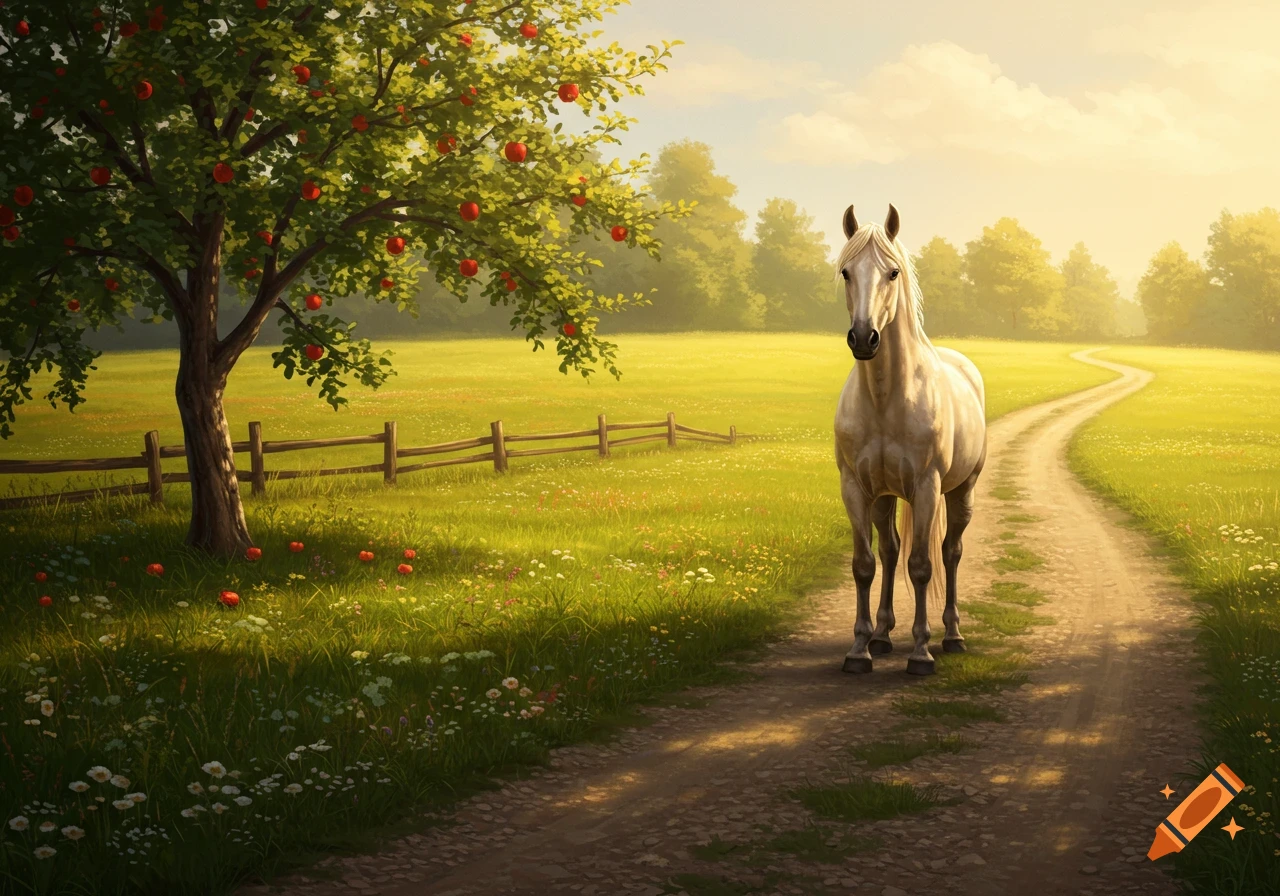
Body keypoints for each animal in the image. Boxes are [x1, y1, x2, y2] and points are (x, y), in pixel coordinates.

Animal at [833, 204, 987, 676]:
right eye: (846, 272)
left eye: (893, 272)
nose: (864, 338)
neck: (887, 399)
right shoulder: (855, 487)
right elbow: (865, 564)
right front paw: (859, 648)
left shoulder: (926, 487)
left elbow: (921, 565)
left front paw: (921, 652)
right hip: (884, 496)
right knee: (889, 551)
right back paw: (883, 635)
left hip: (960, 491)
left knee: (950, 551)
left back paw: (952, 636)